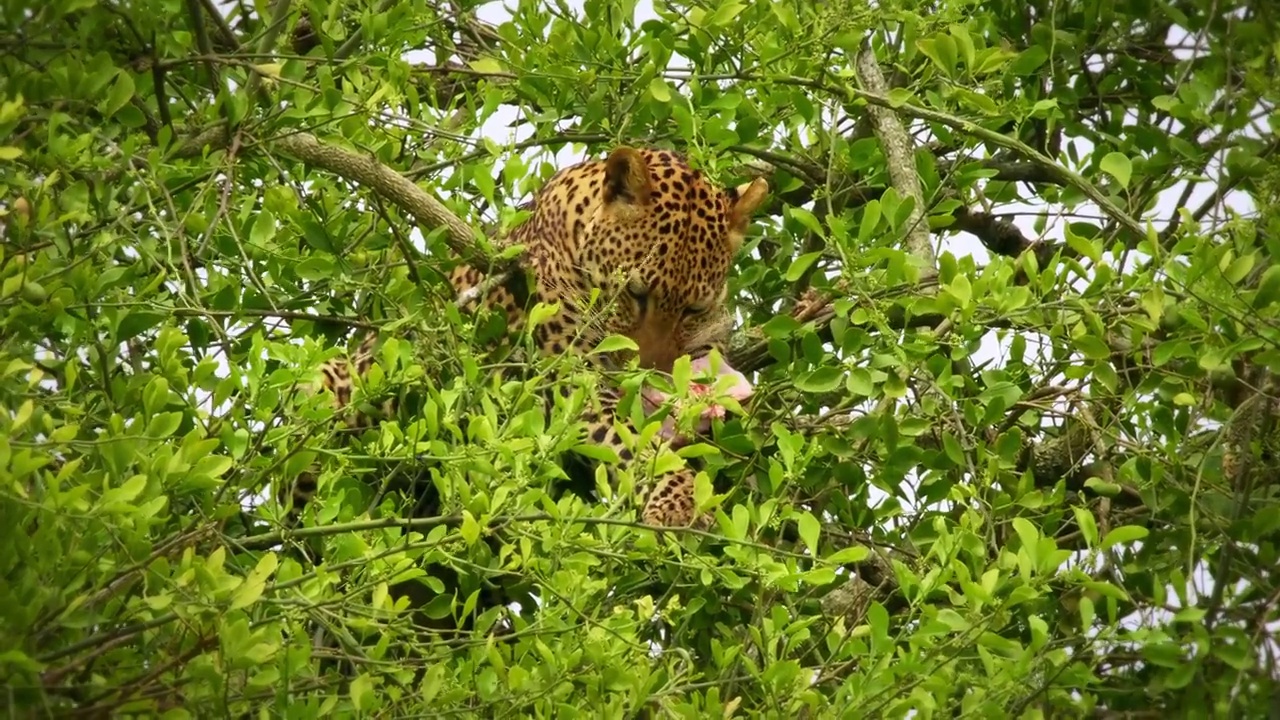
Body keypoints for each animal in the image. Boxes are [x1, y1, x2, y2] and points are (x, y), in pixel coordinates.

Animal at [280, 142, 762, 532]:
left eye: (693, 310)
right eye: (634, 294)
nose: (647, 376)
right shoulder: (571, 376)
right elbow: (630, 438)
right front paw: (680, 497)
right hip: (328, 389)